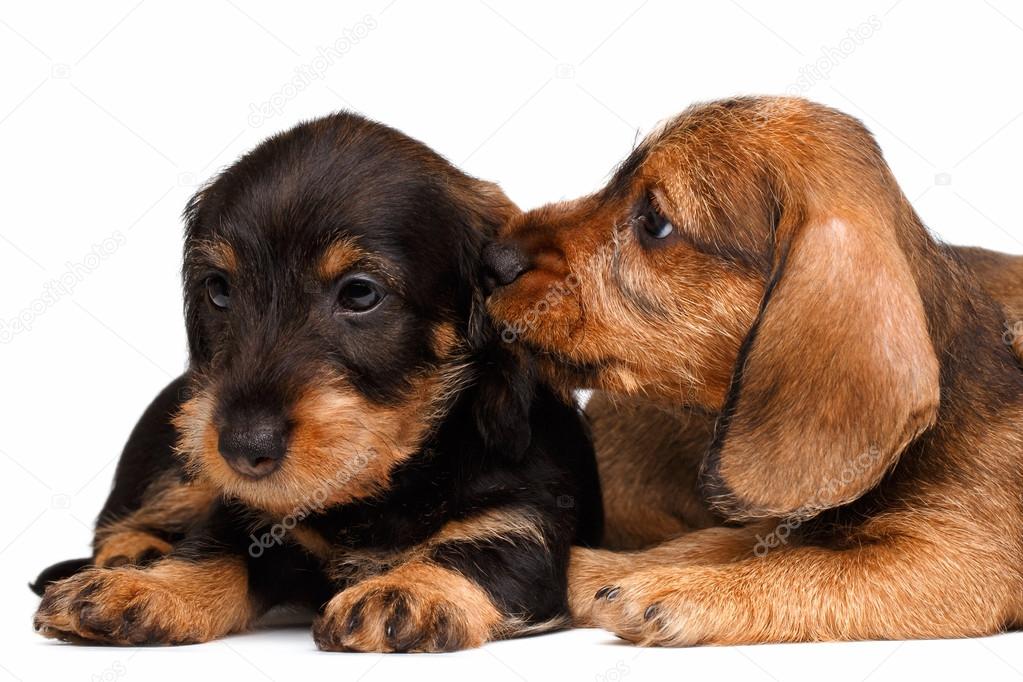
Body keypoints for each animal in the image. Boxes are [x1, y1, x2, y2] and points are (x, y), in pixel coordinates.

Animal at [36, 114, 601, 654]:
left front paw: (407, 590)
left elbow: (475, 555)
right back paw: (130, 556)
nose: (243, 448)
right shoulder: (251, 520)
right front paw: (147, 588)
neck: (385, 484)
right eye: (218, 290)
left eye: (360, 293)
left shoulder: (522, 524)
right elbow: (211, 550)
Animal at [482, 94, 1023, 646]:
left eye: (655, 221)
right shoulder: (789, 518)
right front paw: (598, 572)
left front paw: (681, 589)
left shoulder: (953, 558)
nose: (492, 258)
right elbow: (718, 540)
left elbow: (807, 566)